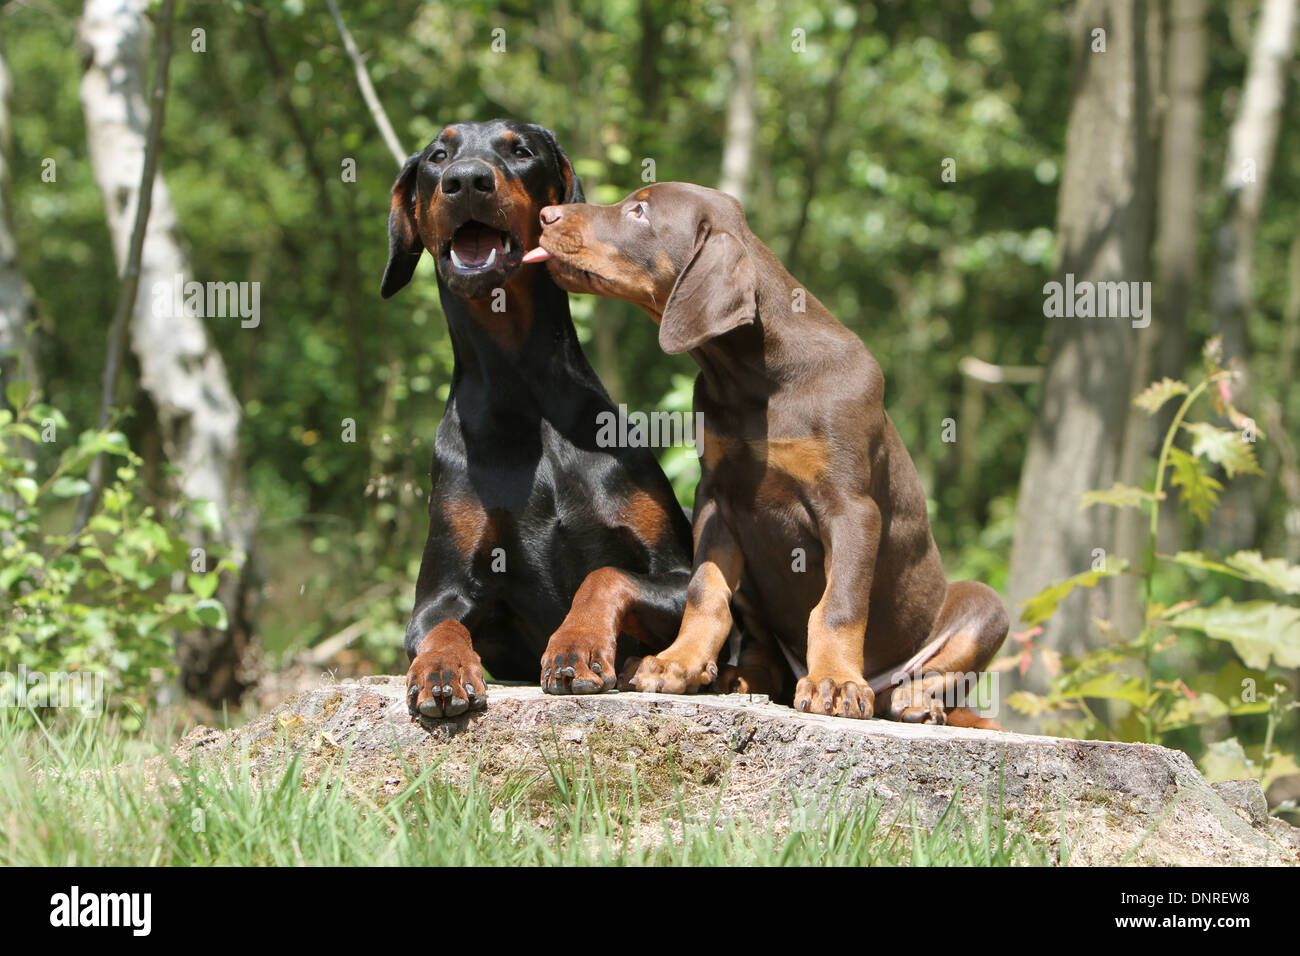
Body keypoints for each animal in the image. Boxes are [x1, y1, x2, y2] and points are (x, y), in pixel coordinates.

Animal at [379, 121, 696, 717]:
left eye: (521, 150)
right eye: (438, 155)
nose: (466, 180)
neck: (526, 396)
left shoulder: (681, 575)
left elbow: (605, 574)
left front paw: (578, 645)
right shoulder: (438, 594)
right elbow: (442, 627)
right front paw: (442, 669)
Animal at [522, 183, 1008, 728]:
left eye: (640, 210)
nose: (546, 214)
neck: (754, 377)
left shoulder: (851, 507)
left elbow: (839, 603)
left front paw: (835, 681)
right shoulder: (717, 501)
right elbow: (705, 592)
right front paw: (677, 662)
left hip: (983, 607)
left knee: (940, 672)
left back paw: (914, 699)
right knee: (766, 657)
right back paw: (739, 678)